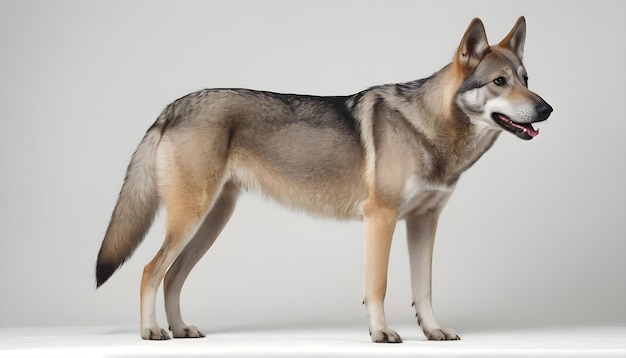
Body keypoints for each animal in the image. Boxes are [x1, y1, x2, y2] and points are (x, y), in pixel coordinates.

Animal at [95, 16, 548, 342]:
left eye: (527, 80)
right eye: (499, 82)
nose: (547, 109)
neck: (430, 129)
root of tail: (172, 107)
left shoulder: (424, 223)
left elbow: (424, 288)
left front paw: (433, 331)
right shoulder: (381, 218)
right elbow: (379, 284)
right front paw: (381, 333)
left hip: (210, 223)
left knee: (172, 276)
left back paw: (180, 329)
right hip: (191, 219)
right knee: (150, 271)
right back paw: (152, 331)